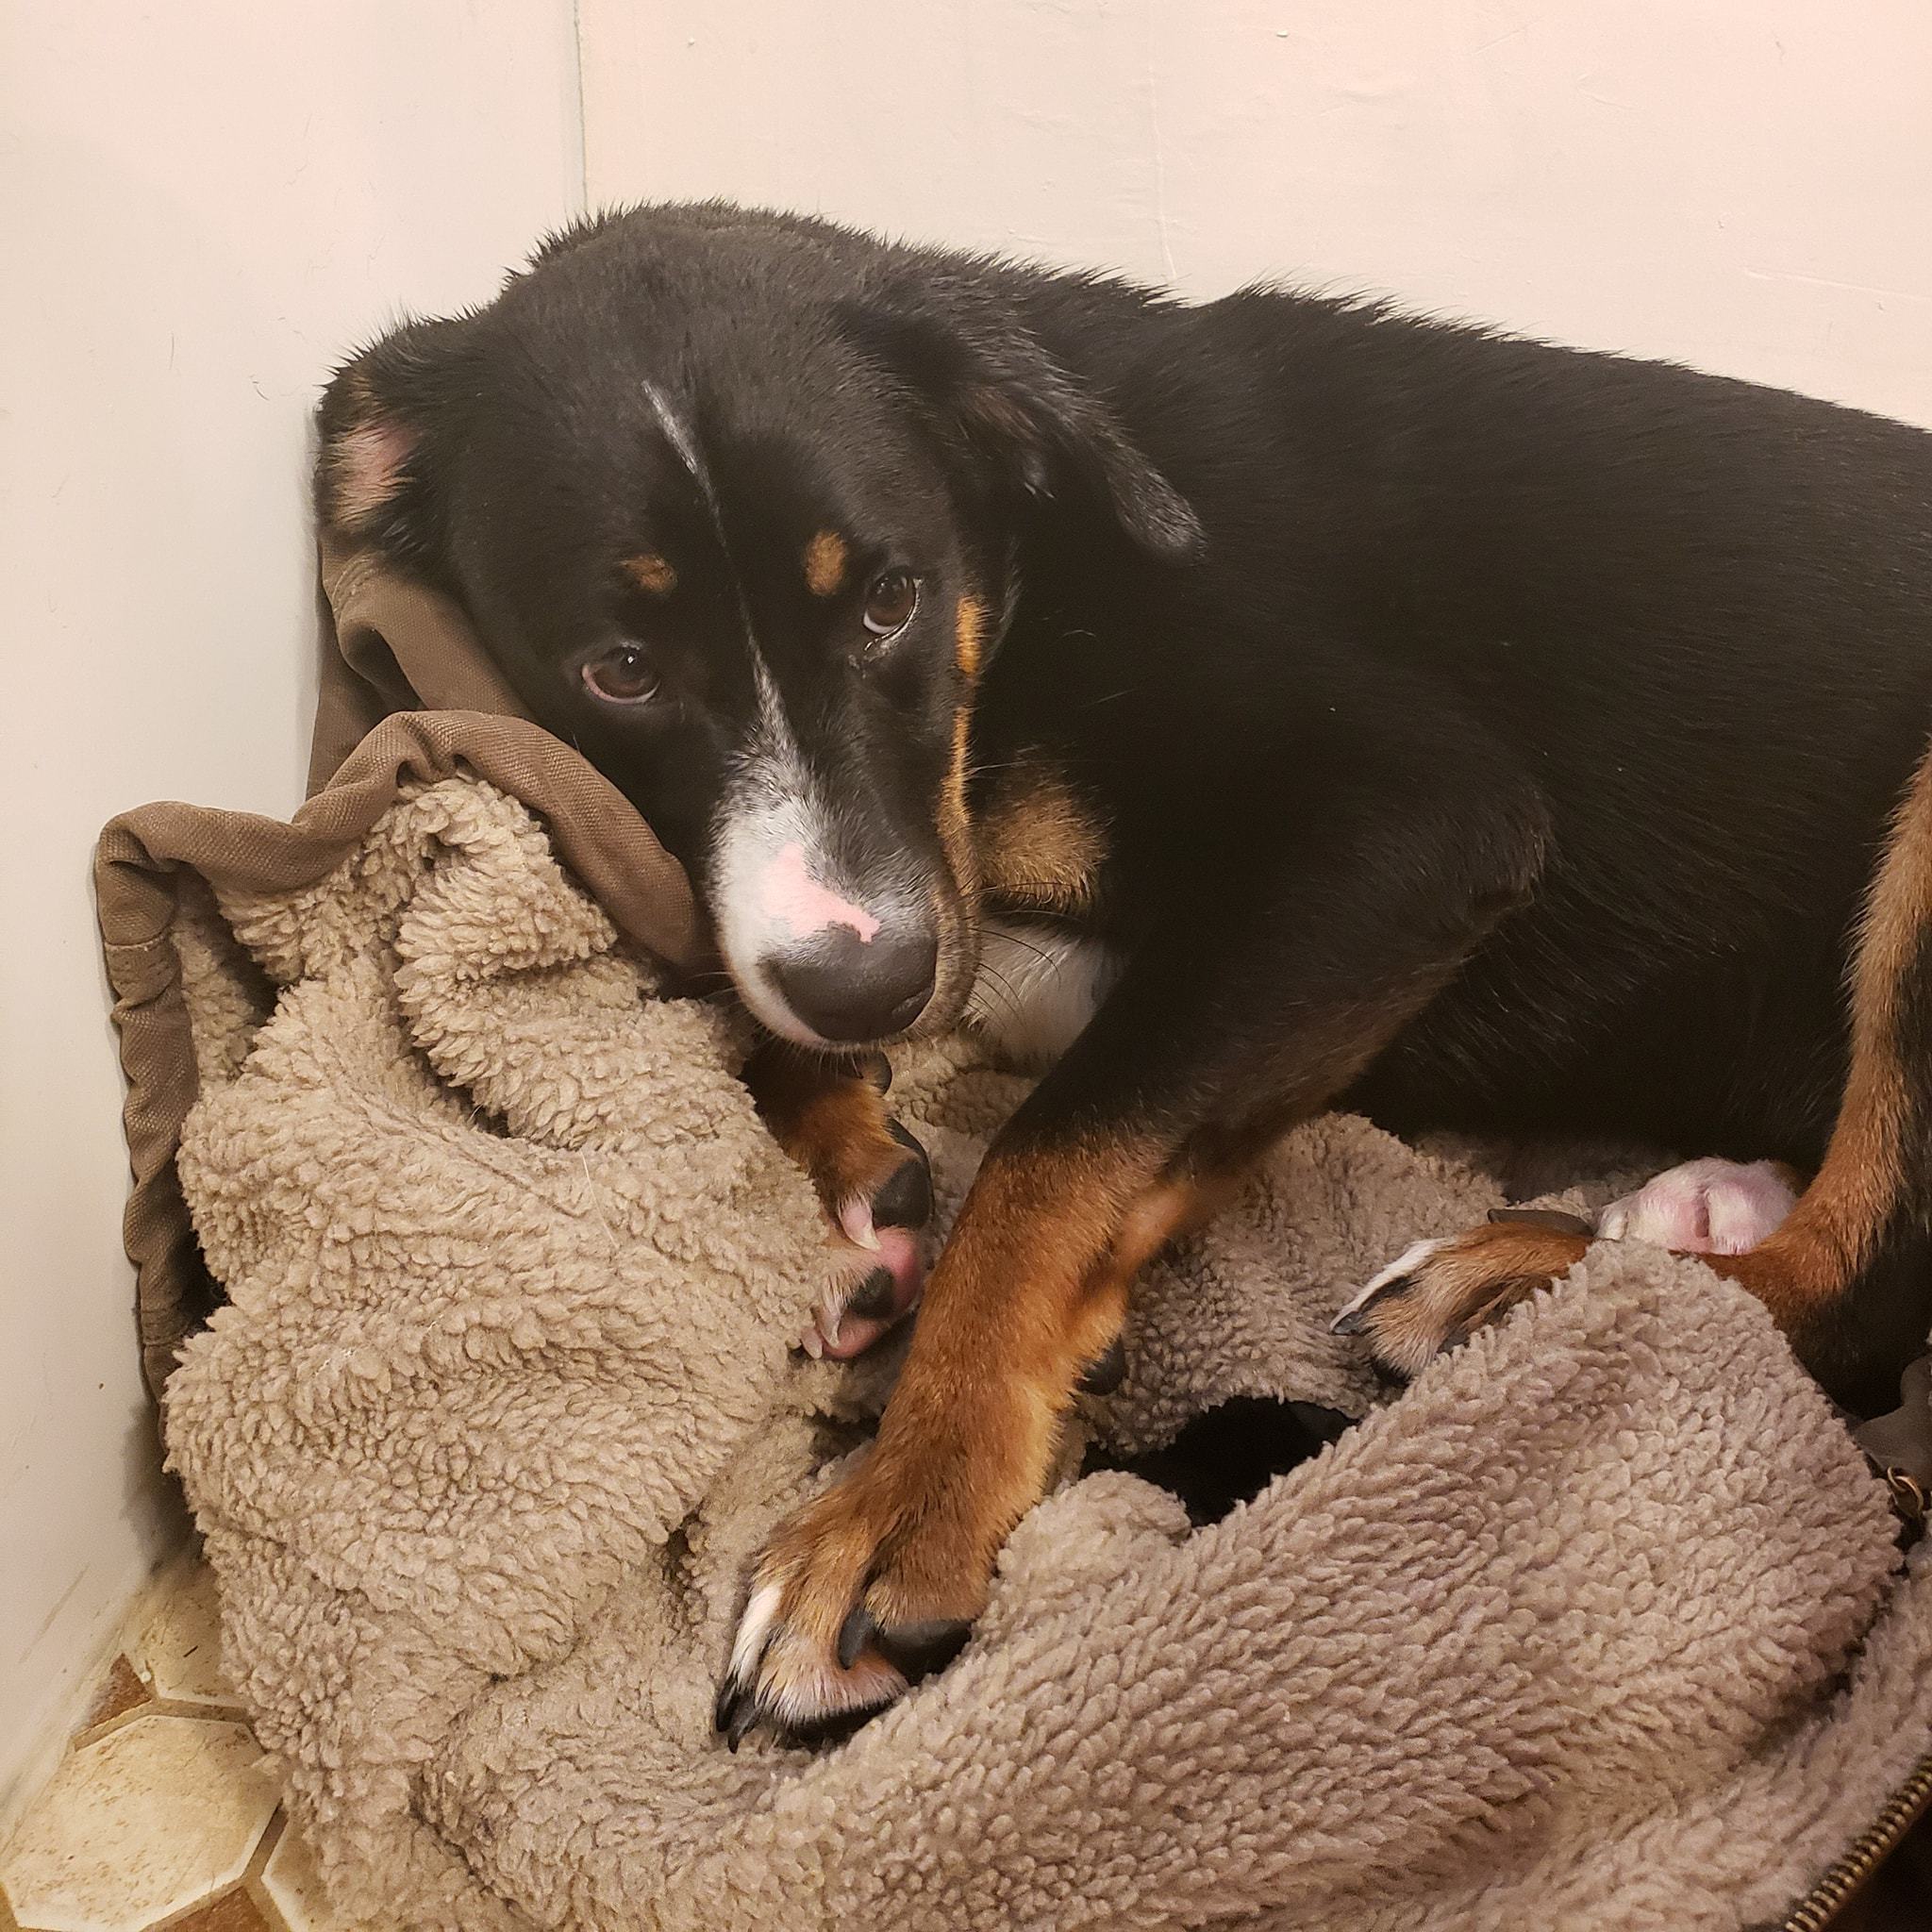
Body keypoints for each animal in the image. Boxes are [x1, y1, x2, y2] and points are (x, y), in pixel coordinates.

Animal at [316, 204, 1932, 1746]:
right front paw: (846, 1183)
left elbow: (1049, 1159)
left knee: (1858, 1299)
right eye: (621, 668)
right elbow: (752, 972)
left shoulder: (1404, 817)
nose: (871, 998)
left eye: (893, 598)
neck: (1025, 585)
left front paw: (905, 1500)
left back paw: (1531, 1285)